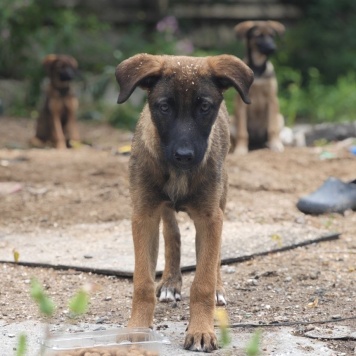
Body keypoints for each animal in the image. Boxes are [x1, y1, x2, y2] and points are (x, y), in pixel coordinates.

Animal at [114, 54, 253, 352]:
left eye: (205, 107)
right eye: (164, 107)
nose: (184, 155)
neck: (178, 173)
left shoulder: (210, 217)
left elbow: (203, 280)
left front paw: (201, 329)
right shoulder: (143, 215)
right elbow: (142, 282)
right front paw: (137, 329)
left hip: (222, 195)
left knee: (214, 257)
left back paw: (217, 289)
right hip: (162, 207)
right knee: (172, 232)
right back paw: (170, 282)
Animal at [229, 19, 286, 153]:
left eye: (272, 35)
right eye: (258, 36)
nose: (272, 48)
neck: (259, 68)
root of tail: (256, 144)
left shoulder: (272, 99)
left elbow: (272, 128)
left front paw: (276, 145)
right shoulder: (241, 103)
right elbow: (242, 132)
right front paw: (241, 150)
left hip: (280, 118)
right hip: (233, 120)